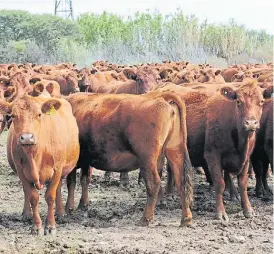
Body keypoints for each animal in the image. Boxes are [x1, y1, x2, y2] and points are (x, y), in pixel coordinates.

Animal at [0, 94, 79, 235]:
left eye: (39, 114)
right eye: (13, 115)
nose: (26, 137)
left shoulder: (57, 169)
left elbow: (50, 196)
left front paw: (51, 225)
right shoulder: (21, 171)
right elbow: (33, 197)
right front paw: (36, 226)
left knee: (58, 189)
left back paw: (61, 213)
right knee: (26, 192)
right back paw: (27, 214)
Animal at [66, 91, 194, 226]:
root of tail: (159, 96)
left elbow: (71, 182)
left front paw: (69, 208)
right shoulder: (85, 159)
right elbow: (84, 179)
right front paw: (83, 204)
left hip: (147, 159)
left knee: (154, 183)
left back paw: (145, 219)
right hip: (175, 151)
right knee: (182, 182)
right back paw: (186, 219)